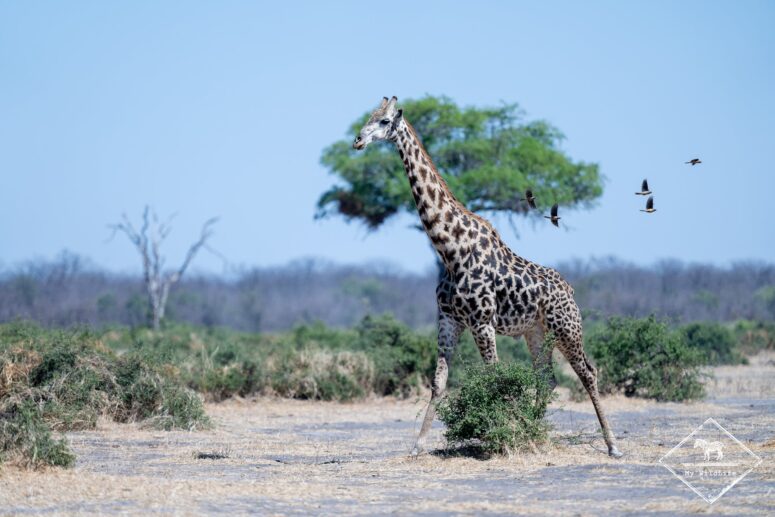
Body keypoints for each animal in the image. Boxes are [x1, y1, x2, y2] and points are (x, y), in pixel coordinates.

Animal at [353, 96, 622, 458]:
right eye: (370, 116)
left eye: (383, 121)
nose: (357, 141)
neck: (450, 250)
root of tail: (570, 289)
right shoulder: (449, 319)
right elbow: (439, 382)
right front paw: (417, 445)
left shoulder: (482, 322)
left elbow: (496, 379)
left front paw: (504, 435)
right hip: (536, 332)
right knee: (546, 378)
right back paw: (536, 429)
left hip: (566, 327)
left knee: (588, 373)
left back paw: (611, 445)